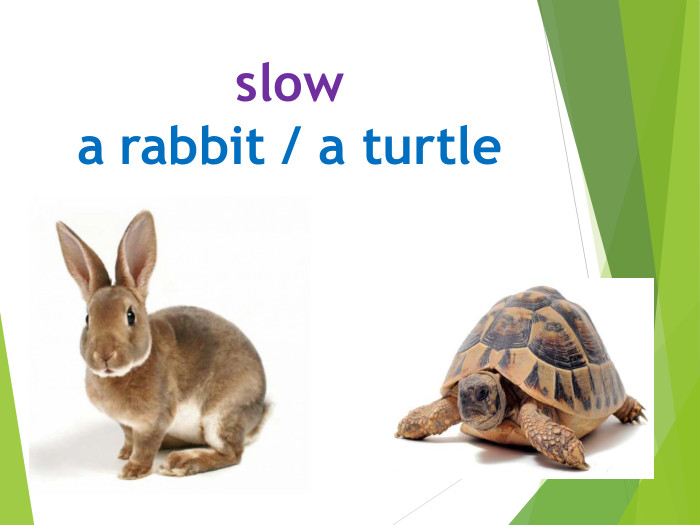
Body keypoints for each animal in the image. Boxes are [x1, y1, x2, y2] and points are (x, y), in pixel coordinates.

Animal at [56, 211, 268, 479]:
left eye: (130, 315)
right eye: (87, 318)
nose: (104, 355)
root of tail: (258, 415)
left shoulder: (154, 421)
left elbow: (146, 445)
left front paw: (133, 470)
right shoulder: (127, 425)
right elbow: (130, 438)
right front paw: (124, 454)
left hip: (221, 415)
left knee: (231, 453)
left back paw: (181, 462)